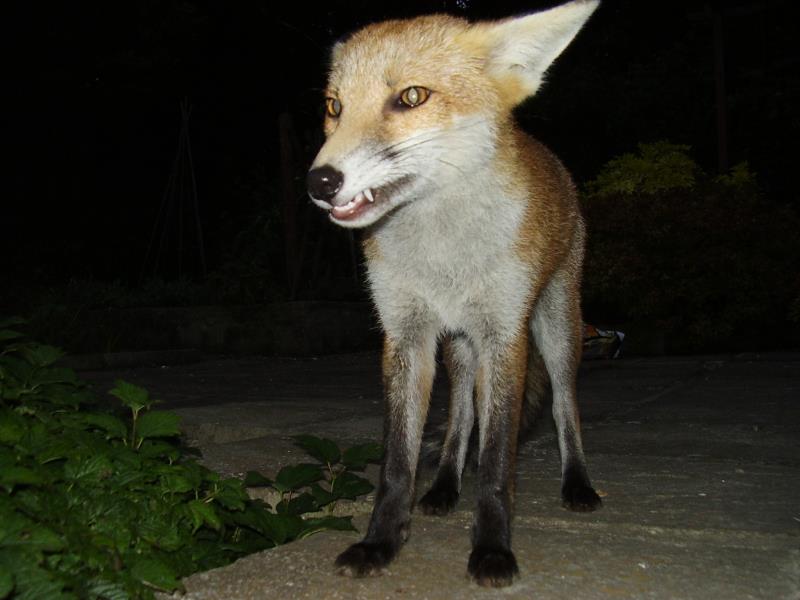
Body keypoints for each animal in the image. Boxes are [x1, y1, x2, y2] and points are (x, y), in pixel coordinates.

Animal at [306, 0, 600, 588]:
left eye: (411, 97)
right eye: (334, 106)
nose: (319, 182)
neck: (443, 256)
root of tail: (546, 153)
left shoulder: (504, 336)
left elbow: (497, 463)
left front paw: (492, 550)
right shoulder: (406, 337)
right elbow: (398, 463)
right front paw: (380, 543)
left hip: (555, 329)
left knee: (564, 406)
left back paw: (577, 483)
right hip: (460, 347)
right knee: (462, 414)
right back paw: (442, 487)